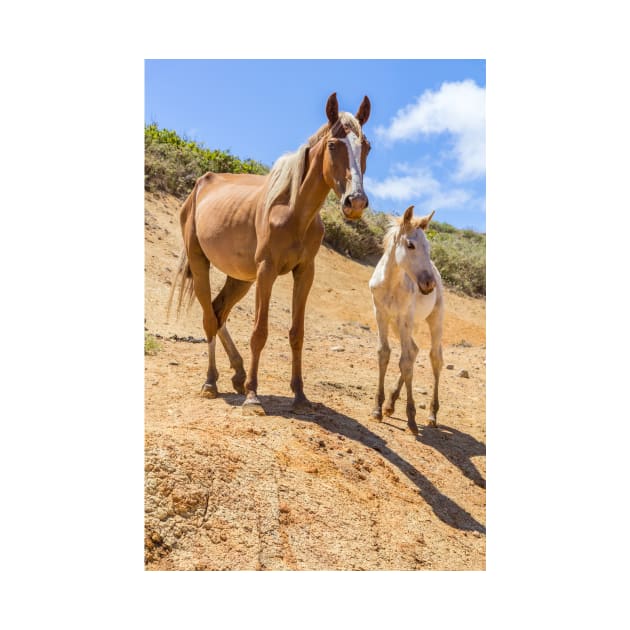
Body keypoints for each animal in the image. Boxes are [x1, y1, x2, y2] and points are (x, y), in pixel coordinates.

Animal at [170, 92, 372, 414]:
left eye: (366, 146)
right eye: (332, 144)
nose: (356, 202)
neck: (293, 211)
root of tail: (199, 186)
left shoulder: (305, 273)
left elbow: (297, 334)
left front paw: (300, 396)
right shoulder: (267, 271)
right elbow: (259, 332)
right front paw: (253, 396)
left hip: (241, 278)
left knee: (218, 311)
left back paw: (237, 374)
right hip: (202, 265)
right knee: (209, 319)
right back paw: (211, 382)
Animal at [370, 206, 444, 434]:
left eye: (428, 246)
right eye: (410, 245)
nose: (429, 284)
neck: (391, 283)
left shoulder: (404, 318)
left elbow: (404, 362)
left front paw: (411, 418)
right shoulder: (381, 314)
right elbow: (384, 354)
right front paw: (378, 408)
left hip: (432, 319)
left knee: (434, 358)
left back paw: (432, 414)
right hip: (399, 325)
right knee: (413, 351)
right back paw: (390, 404)